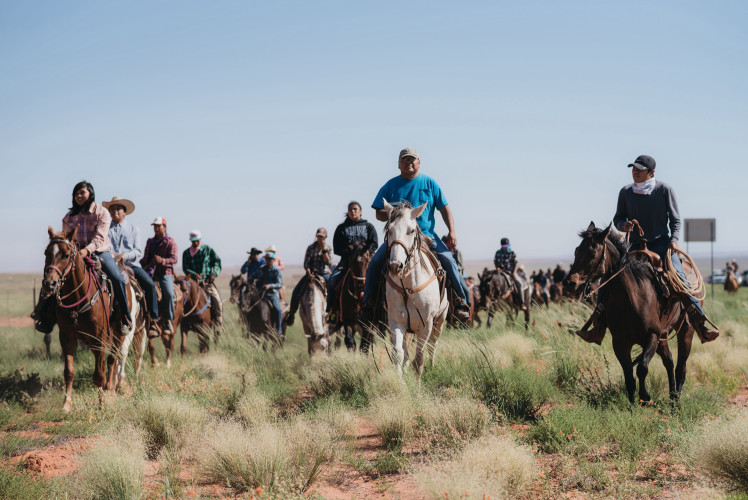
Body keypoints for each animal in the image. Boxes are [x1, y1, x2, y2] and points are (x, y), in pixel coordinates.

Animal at [41, 229, 142, 412]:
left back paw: (112, 389)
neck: (78, 296)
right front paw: (66, 404)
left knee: (113, 358)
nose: (49, 284)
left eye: (66, 255)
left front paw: (101, 404)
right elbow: (69, 371)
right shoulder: (66, 337)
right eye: (46, 253)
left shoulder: (98, 338)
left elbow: (99, 374)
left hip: (120, 332)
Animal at [382, 199, 448, 382]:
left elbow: (418, 359)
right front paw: (401, 383)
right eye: (389, 230)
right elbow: (398, 354)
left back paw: (432, 366)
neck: (408, 287)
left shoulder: (426, 325)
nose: (395, 266)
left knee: (433, 345)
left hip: (439, 321)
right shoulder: (396, 322)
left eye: (411, 230)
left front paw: (417, 386)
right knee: (405, 352)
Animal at [564, 223, 700, 402]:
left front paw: (645, 397)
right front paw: (632, 402)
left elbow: (642, 368)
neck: (631, 299)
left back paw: (676, 400)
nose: (569, 283)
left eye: (592, 252)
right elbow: (629, 375)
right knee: (669, 361)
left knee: (681, 367)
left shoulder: (652, 336)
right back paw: (671, 397)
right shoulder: (620, 342)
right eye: (576, 251)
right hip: (663, 335)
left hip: (685, 331)